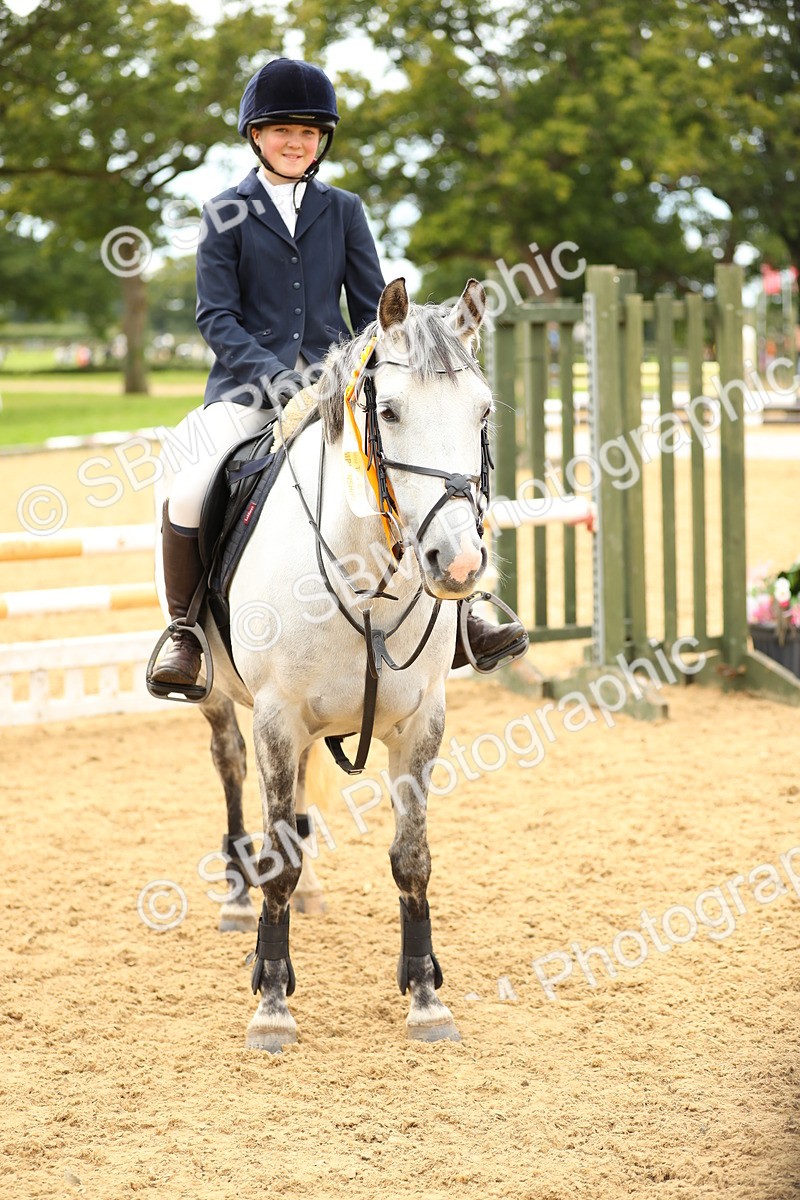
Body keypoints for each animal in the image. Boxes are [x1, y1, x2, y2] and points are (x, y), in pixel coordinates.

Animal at [154, 277, 493, 1051]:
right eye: (389, 412)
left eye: (484, 409)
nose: (458, 564)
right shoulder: (276, 718)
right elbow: (276, 855)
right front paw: (273, 1003)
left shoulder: (420, 723)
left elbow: (411, 858)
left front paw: (426, 996)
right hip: (221, 700)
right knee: (230, 769)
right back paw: (238, 899)